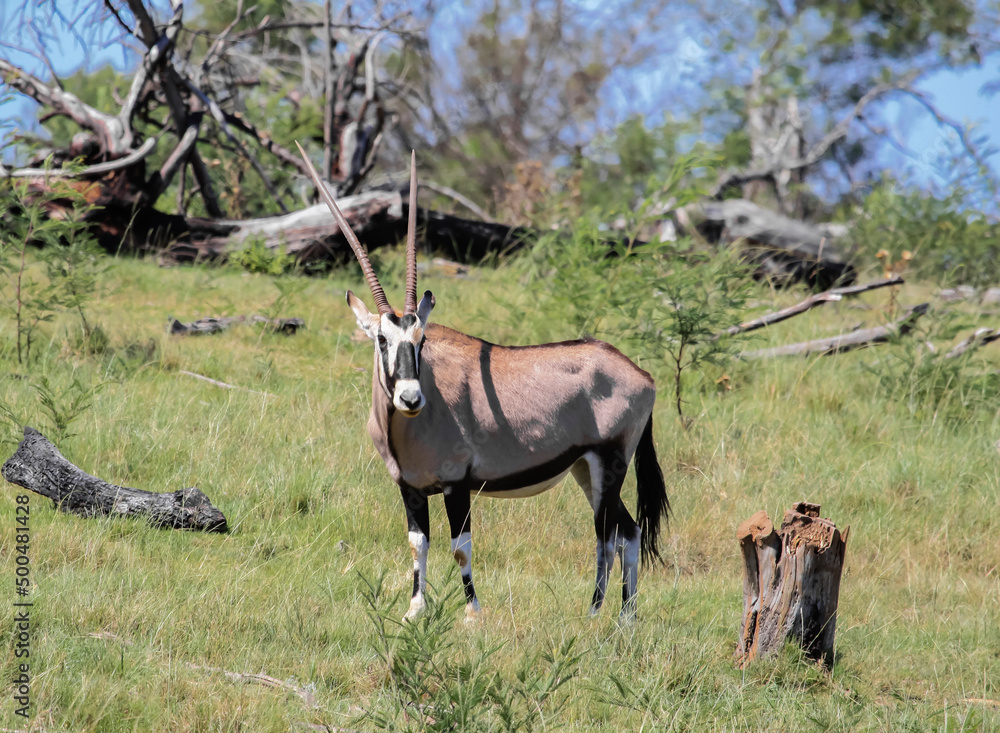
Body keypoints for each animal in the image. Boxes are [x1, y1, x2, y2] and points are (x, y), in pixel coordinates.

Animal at [296, 143, 670, 621]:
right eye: (381, 339)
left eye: (421, 339)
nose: (410, 398)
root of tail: (642, 376)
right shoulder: (410, 488)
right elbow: (418, 544)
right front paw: (414, 611)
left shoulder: (457, 484)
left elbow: (460, 546)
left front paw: (473, 613)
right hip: (586, 470)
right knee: (629, 532)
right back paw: (625, 618)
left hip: (610, 464)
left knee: (607, 536)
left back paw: (594, 614)